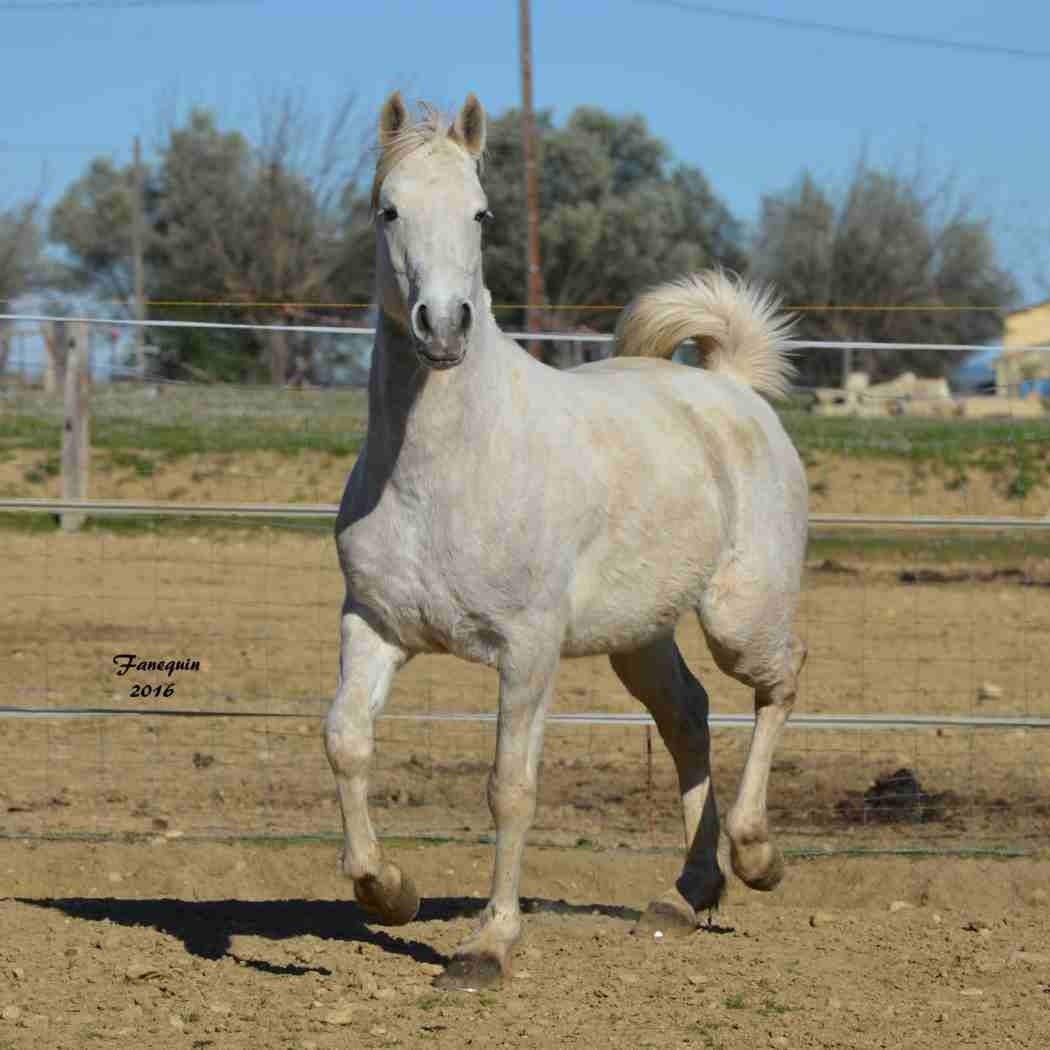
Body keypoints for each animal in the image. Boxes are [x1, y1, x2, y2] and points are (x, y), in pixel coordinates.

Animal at [323, 92, 806, 991]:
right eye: (387, 210)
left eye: (481, 212)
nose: (443, 326)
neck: (440, 476)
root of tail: (731, 389)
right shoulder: (372, 626)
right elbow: (346, 740)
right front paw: (388, 891)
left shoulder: (528, 649)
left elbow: (510, 786)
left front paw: (487, 946)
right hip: (638, 637)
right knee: (688, 716)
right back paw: (686, 894)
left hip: (739, 616)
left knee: (779, 681)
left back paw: (756, 856)